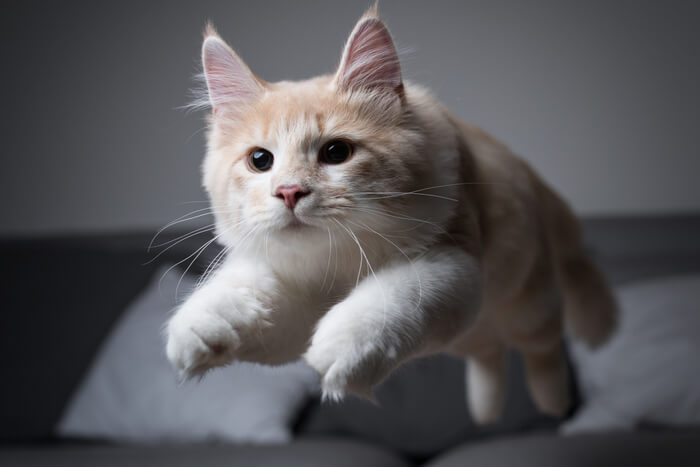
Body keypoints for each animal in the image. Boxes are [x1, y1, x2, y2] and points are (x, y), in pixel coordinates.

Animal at [167, 6, 616, 424]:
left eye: (336, 152)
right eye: (260, 161)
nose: (289, 192)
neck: (335, 266)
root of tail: (531, 176)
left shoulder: (453, 262)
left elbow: (386, 301)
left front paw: (341, 350)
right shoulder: (288, 288)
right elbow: (240, 295)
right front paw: (196, 333)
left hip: (528, 305)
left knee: (544, 350)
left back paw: (553, 406)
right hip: (475, 332)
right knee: (489, 354)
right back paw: (485, 412)